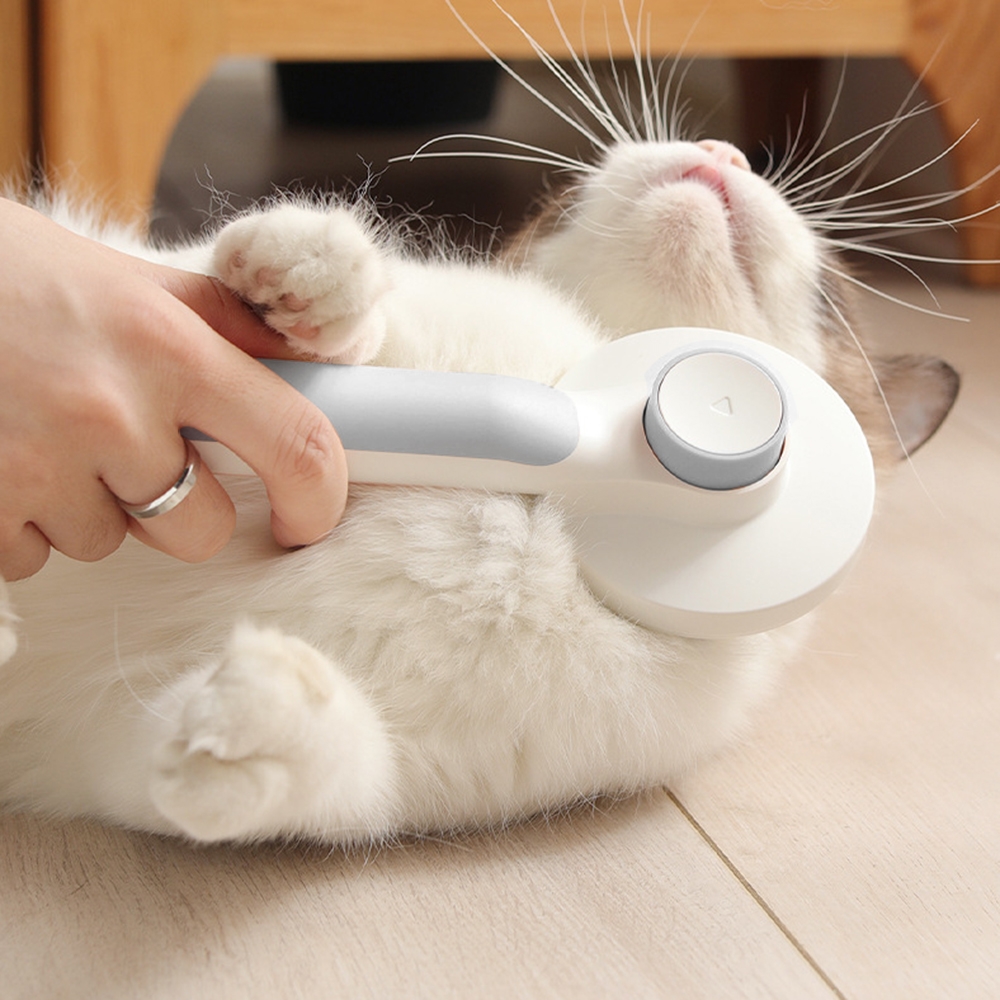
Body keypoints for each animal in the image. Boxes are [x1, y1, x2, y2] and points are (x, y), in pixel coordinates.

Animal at [0, 58, 960, 845]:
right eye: (563, 201)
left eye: (832, 296)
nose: (723, 151)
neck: (546, 502)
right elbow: (309, 299)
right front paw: (311, 277)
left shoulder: (110, 747)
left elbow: (321, 771)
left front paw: (257, 715)